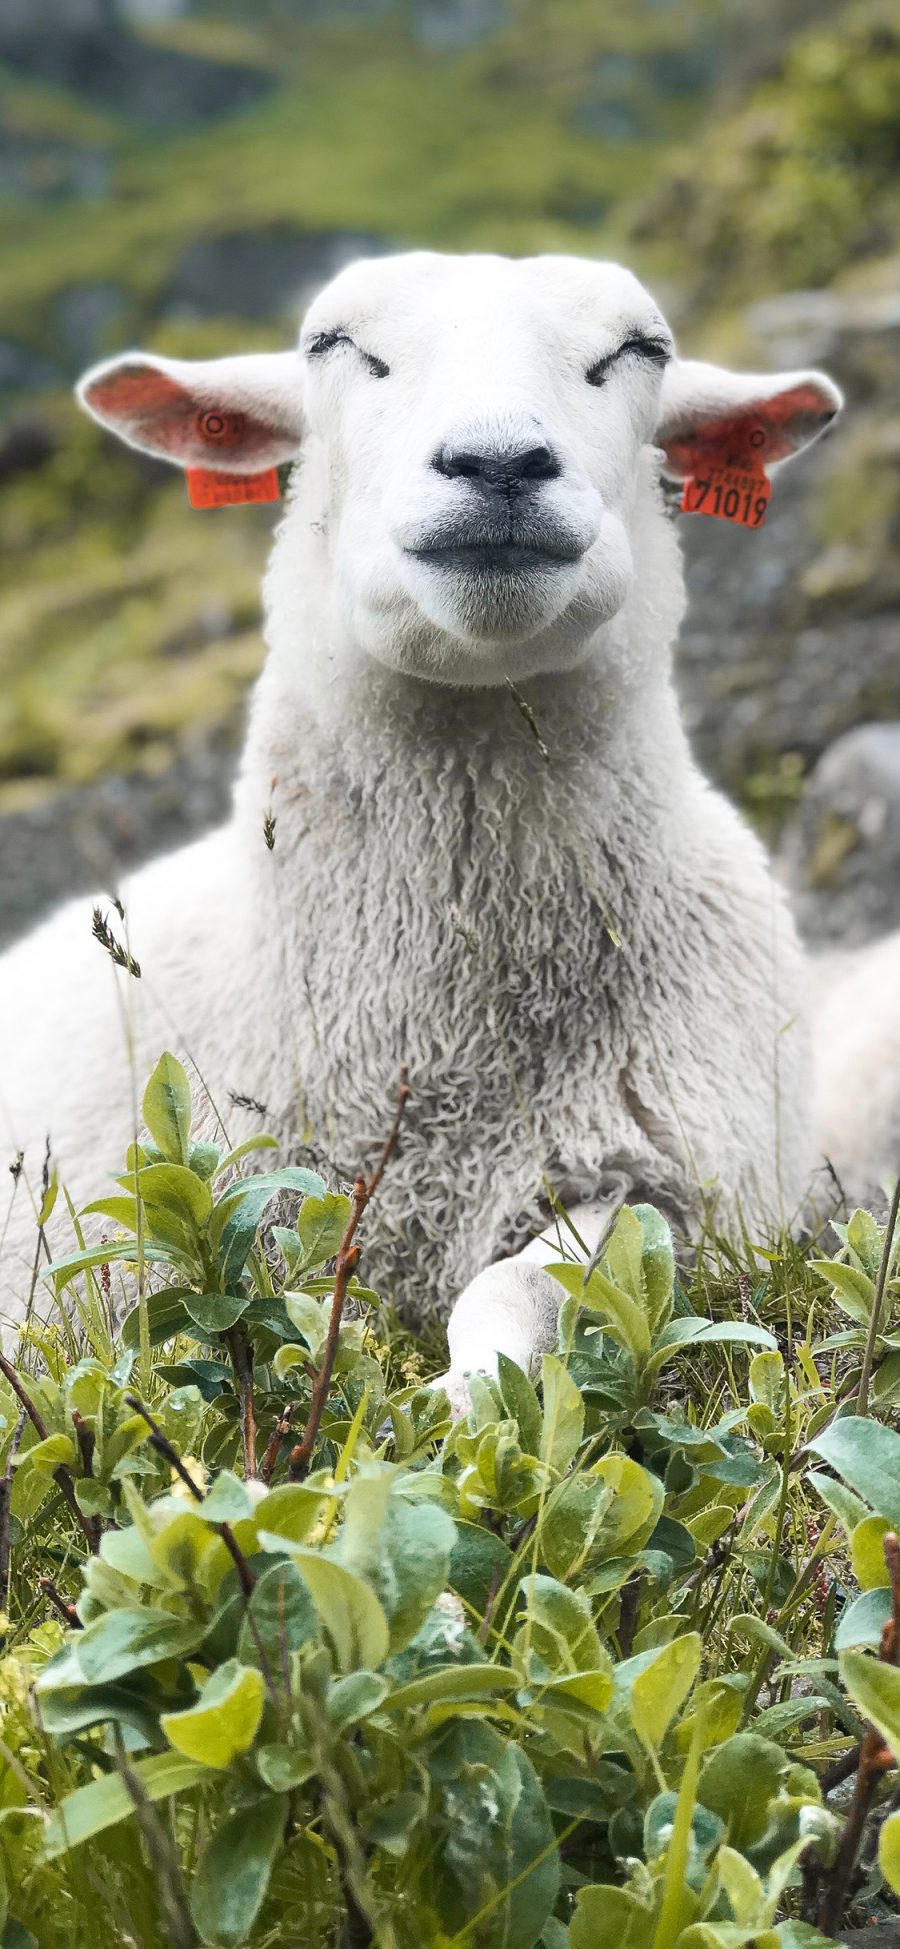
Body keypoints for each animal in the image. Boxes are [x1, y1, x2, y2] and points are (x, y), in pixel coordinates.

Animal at [1, 251, 845, 1403]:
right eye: (336, 346)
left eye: (639, 351)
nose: (499, 463)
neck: (439, 1033)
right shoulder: (176, 1224)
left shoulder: (673, 1183)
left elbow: (528, 1287)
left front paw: (460, 1394)